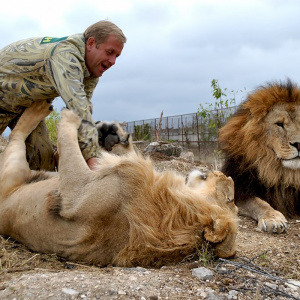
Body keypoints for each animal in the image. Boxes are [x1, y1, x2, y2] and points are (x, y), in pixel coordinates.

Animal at [0, 101, 239, 268]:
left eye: (229, 199)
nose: (224, 174)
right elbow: (123, 150)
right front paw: (112, 131)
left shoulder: (76, 191)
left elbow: (67, 134)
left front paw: (72, 115)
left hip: (14, 166)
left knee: (18, 134)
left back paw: (37, 110)